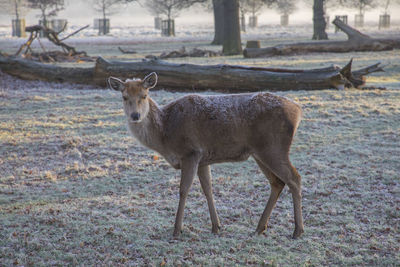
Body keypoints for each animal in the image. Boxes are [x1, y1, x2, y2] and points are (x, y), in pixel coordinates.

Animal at [108, 72, 304, 240]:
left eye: (144, 95)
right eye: (124, 97)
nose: (135, 115)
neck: (165, 134)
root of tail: (297, 111)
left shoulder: (191, 152)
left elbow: (183, 189)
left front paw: (177, 230)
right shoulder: (203, 159)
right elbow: (208, 188)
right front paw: (216, 226)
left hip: (274, 148)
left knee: (295, 178)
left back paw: (297, 230)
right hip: (260, 153)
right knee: (277, 182)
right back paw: (259, 228)